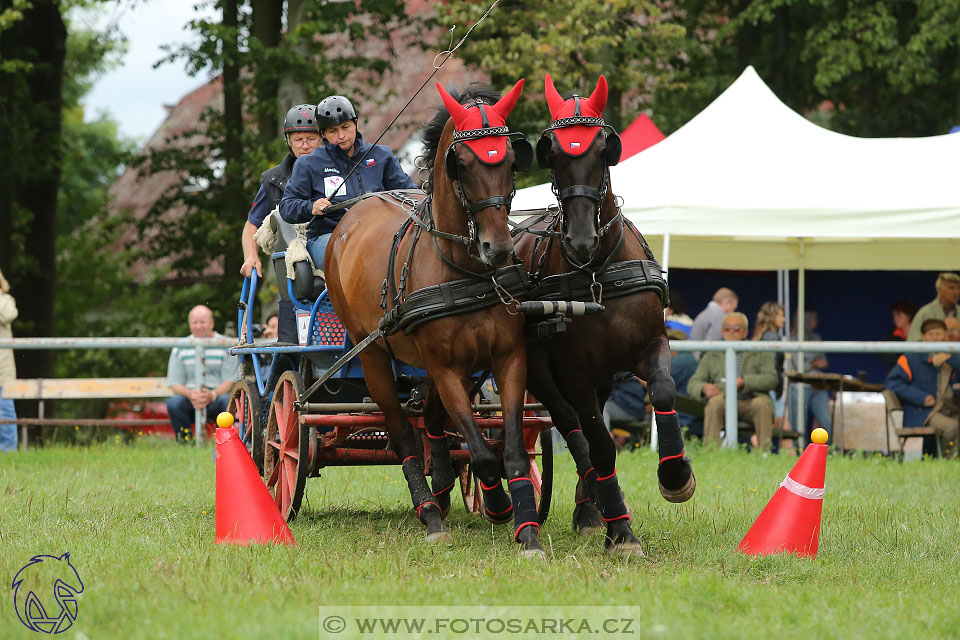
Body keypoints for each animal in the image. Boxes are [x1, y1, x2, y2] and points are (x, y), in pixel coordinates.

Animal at [324, 81, 544, 556]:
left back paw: (441, 488)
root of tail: (353, 212)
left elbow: (511, 450)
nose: (499, 247)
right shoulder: (445, 368)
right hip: (371, 354)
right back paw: (429, 511)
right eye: (462, 163)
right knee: (403, 432)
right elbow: (481, 454)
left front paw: (526, 529)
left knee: (432, 421)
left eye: (511, 159)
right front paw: (497, 504)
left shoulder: (508, 359)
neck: (464, 270)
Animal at [516, 74, 696, 556]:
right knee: (571, 426)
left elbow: (665, 392)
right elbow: (598, 441)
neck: (596, 273)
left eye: (603, 149)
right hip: (541, 370)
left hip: (603, 379)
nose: (580, 240)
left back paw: (590, 507)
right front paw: (623, 532)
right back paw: (596, 503)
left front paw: (675, 475)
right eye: (554, 153)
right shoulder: (574, 371)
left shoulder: (651, 345)